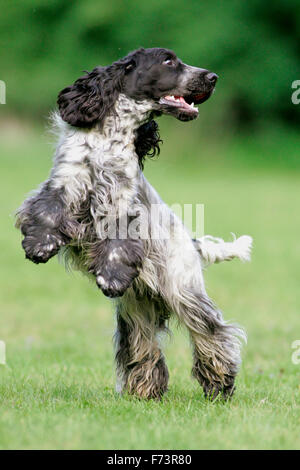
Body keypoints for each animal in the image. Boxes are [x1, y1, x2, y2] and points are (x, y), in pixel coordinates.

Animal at [15, 48, 251, 400]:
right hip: (136, 308)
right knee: (143, 345)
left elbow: (118, 243)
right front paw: (38, 245)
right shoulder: (66, 181)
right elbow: (46, 210)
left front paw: (111, 276)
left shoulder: (123, 203)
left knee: (211, 332)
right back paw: (145, 390)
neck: (110, 137)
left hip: (182, 289)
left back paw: (220, 383)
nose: (212, 77)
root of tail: (192, 244)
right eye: (169, 61)